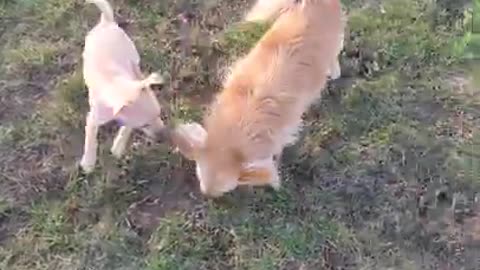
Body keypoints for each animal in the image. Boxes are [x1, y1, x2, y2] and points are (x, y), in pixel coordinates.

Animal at [81, 0, 167, 173]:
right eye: (144, 125)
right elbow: (90, 138)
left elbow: (127, 126)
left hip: (131, 51)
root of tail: (107, 21)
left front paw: (118, 146)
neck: (117, 84)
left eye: (159, 114)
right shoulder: (93, 119)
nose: (164, 135)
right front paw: (88, 162)